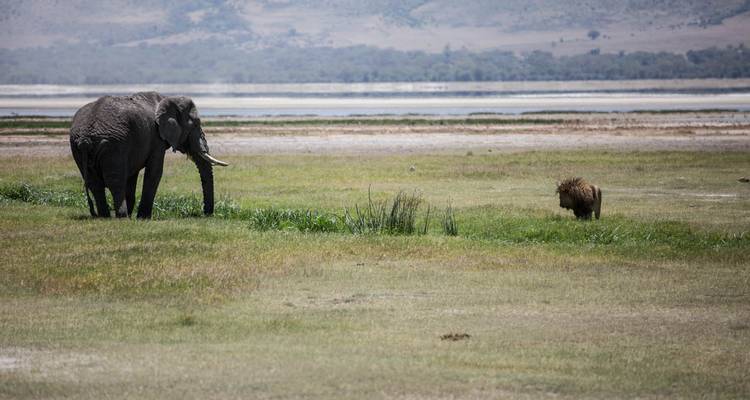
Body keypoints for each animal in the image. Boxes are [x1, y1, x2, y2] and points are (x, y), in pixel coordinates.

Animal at [69, 92, 228, 219]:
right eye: (196, 124)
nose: (206, 214)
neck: (166, 99)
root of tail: (85, 139)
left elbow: (132, 177)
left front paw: (136, 215)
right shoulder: (156, 139)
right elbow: (155, 172)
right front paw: (143, 217)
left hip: (78, 148)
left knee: (94, 183)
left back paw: (105, 216)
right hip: (112, 145)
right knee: (115, 182)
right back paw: (122, 217)